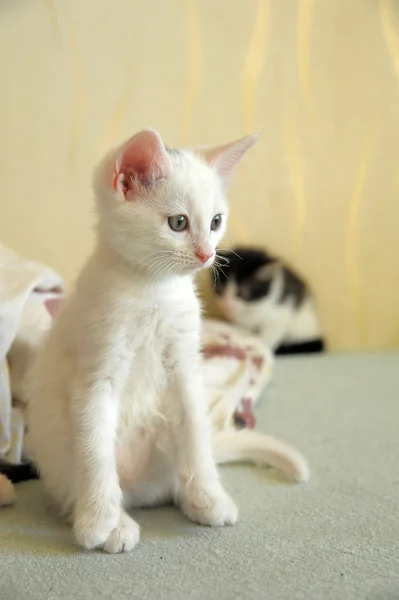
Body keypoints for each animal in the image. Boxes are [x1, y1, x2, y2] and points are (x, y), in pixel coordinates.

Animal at [27, 130, 260, 552]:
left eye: (216, 221)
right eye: (179, 222)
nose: (207, 254)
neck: (154, 290)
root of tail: (142, 490)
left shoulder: (185, 368)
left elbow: (196, 434)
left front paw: (209, 495)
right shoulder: (95, 373)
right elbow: (94, 450)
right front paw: (98, 521)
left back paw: (194, 499)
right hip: (57, 448)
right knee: (77, 479)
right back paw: (114, 522)